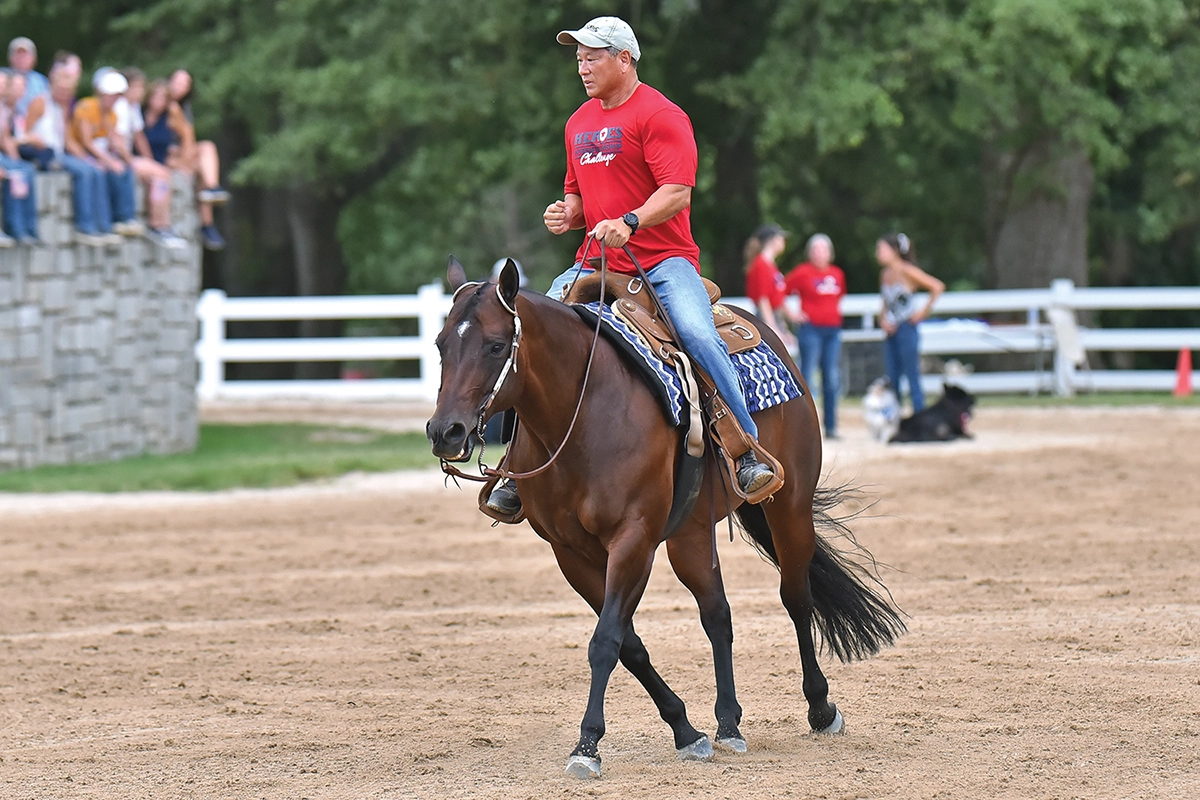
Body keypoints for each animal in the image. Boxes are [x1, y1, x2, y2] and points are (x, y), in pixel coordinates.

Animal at [427, 257, 904, 779]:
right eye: (440, 344)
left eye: (496, 345)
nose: (445, 431)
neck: (584, 411)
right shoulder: (570, 552)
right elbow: (629, 644)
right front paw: (685, 731)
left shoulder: (633, 540)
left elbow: (606, 640)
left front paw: (587, 745)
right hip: (690, 535)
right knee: (717, 614)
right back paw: (728, 724)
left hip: (789, 504)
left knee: (796, 597)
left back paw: (820, 708)